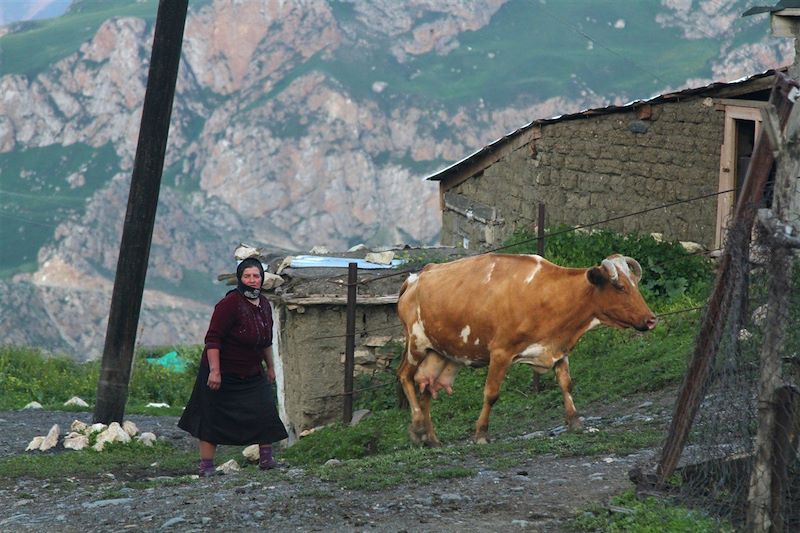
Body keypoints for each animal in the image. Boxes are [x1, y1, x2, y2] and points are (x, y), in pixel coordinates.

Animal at [398, 254, 656, 444]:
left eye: (635, 284)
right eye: (620, 286)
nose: (651, 319)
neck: (547, 295)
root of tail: (416, 277)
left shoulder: (558, 349)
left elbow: (566, 384)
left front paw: (575, 422)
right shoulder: (500, 352)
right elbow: (491, 394)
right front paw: (481, 434)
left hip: (440, 353)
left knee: (427, 388)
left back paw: (431, 438)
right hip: (416, 344)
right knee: (404, 376)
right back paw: (418, 427)